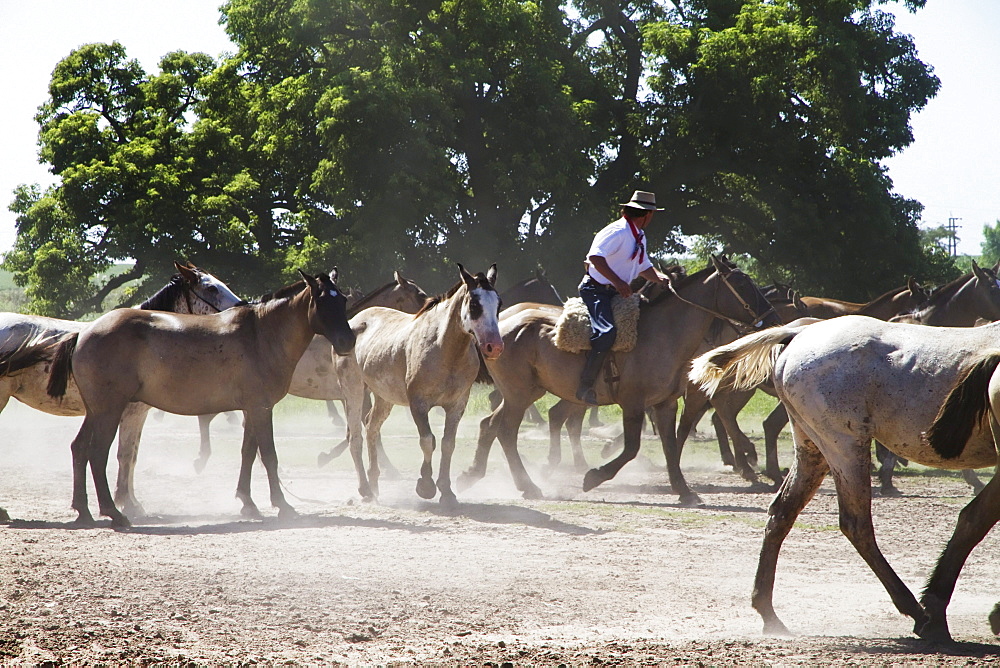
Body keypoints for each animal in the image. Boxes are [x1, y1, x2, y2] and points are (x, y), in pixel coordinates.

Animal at [460, 258, 780, 506]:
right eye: (742, 285)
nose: (772, 318)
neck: (662, 335)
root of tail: (499, 327)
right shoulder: (633, 403)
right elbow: (632, 448)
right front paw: (594, 476)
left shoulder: (665, 404)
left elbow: (671, 445)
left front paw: (684, 490)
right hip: (520, 394)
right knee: (507, 431)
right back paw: (529, 484)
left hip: (522, 393)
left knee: (490, 425)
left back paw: (474, 474)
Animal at [692, 318, 1000, 640]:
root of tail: (801, 331)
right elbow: (973, 522)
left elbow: (972, 522)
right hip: (845, 445)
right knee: (856, 523)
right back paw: (915, 611)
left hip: (813, 448)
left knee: (781, 513)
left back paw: (768, 612)